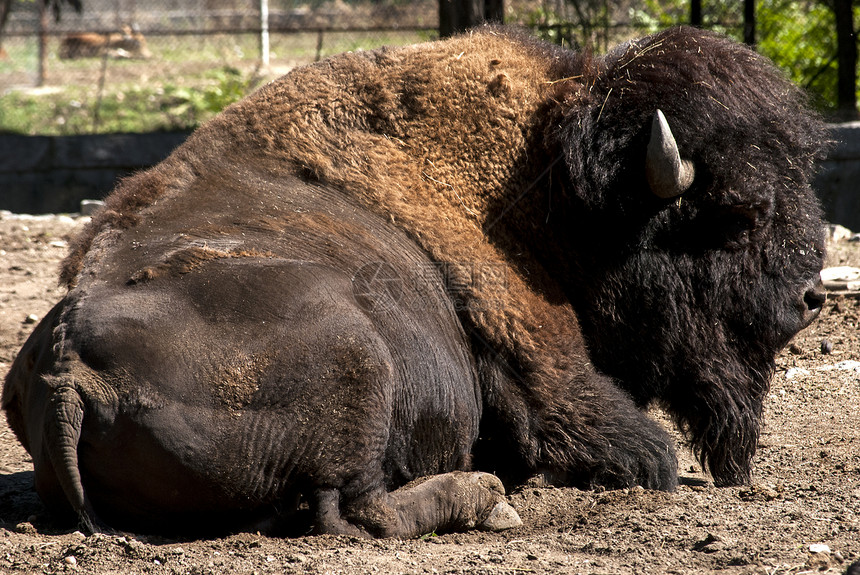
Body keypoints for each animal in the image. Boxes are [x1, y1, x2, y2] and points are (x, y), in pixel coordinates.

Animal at [3, 27, 828, 540]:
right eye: (734, 212)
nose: (811, 297)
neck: (543, 188)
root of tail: (68, 371)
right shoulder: (545, 361)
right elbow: (640, 450)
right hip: (358, 355)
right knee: (354, 513)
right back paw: (488, 498)